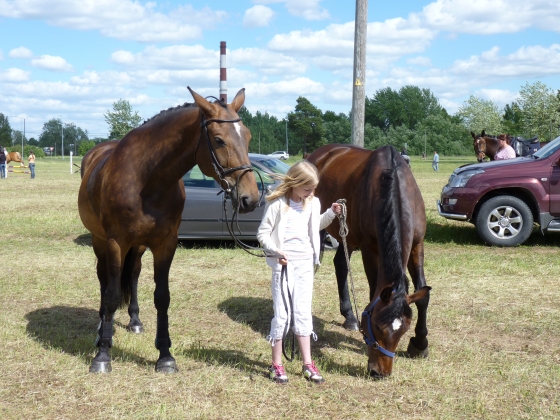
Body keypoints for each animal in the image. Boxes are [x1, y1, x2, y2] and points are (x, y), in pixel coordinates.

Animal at [77, 88, 260, 374]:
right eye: (219, 140)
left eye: (248, 136)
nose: (250, 198)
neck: (146, 181)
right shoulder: (116, 242)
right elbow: (112, 295)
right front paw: (102, 355)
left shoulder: (166, 244)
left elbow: (162, 296)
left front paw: (165, 356)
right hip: (100, 241)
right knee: (104, 279)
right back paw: (101, 329)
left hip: (138, 246)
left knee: (133, 274)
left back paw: (134, 321)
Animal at [308, 144, 430, 378]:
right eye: (376, 326)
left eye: (404, 329)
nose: (379, 372)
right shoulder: (369, 249)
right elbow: (374, 289)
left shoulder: (418, 244)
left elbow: (422, 295)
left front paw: (420, 344)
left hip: (346, 236)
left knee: (341, 265)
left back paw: (348, 316)